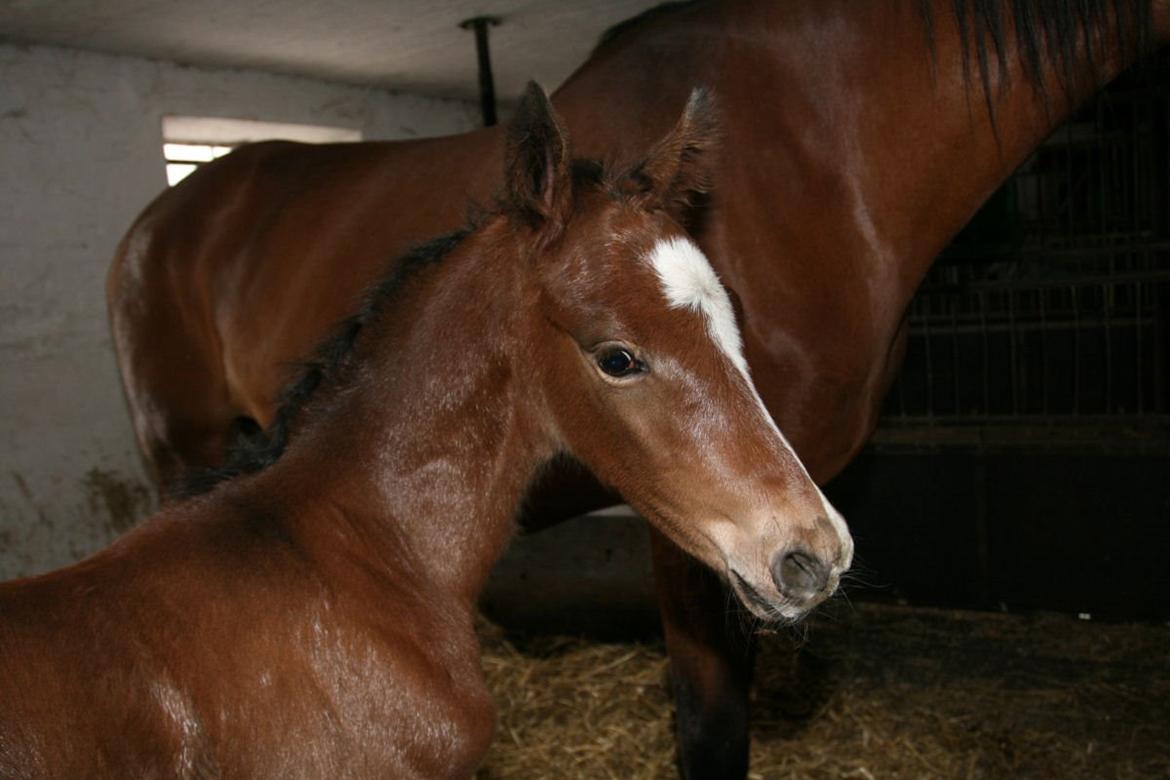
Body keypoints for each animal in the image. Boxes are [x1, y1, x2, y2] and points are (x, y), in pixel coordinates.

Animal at [105, 3, 1165, 776]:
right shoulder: (692, 531)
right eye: (616, 359)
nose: (820, 554)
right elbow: (709, 728)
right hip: (177, 444)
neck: (829, 141)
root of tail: (155, 222)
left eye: (732, 328)